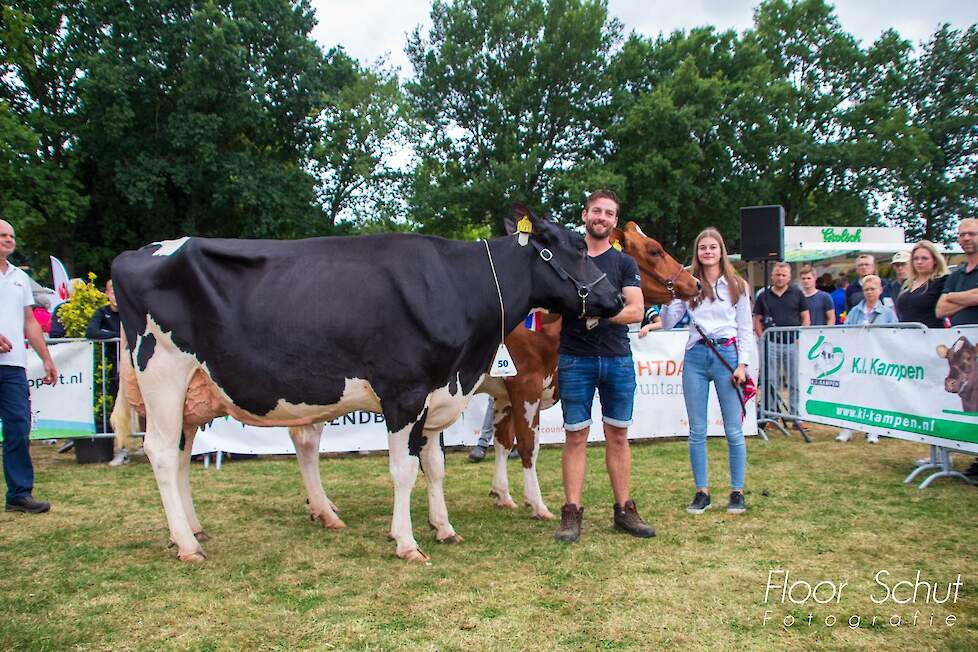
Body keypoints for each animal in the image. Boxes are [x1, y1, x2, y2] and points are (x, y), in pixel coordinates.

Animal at [110, 206, 620, 564]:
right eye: (575, 246)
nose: (615, 296)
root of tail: (137, 252)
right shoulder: (405, 393)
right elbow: (404, 471)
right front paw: (407, 541)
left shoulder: (437, 394)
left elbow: (435, 468)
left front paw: (443, 528)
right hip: (163, 372)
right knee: (160, 452)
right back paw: (186, 544)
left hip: (191, 391)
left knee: (181, 454)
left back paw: (193, 530)